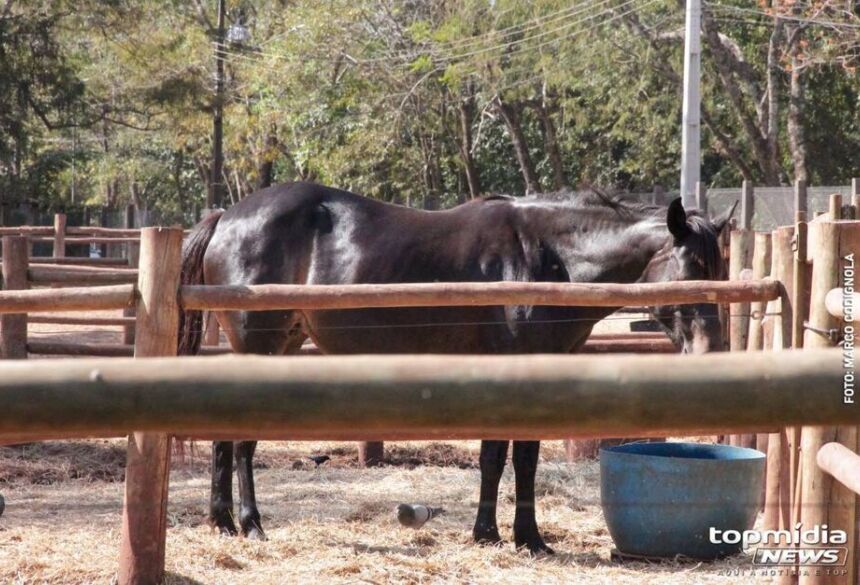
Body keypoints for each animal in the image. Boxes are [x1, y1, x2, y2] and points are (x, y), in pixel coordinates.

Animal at [180, 182, 732, 552]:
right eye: (692, 269)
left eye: (721, 270)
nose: (710, 350)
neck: (548, 260)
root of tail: (227, 215)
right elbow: (503, 458)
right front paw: (506, 536)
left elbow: (513, 459)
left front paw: (510, 535)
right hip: (262, 346)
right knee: (241, 441)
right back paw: (250, 523)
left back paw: (222, 521)